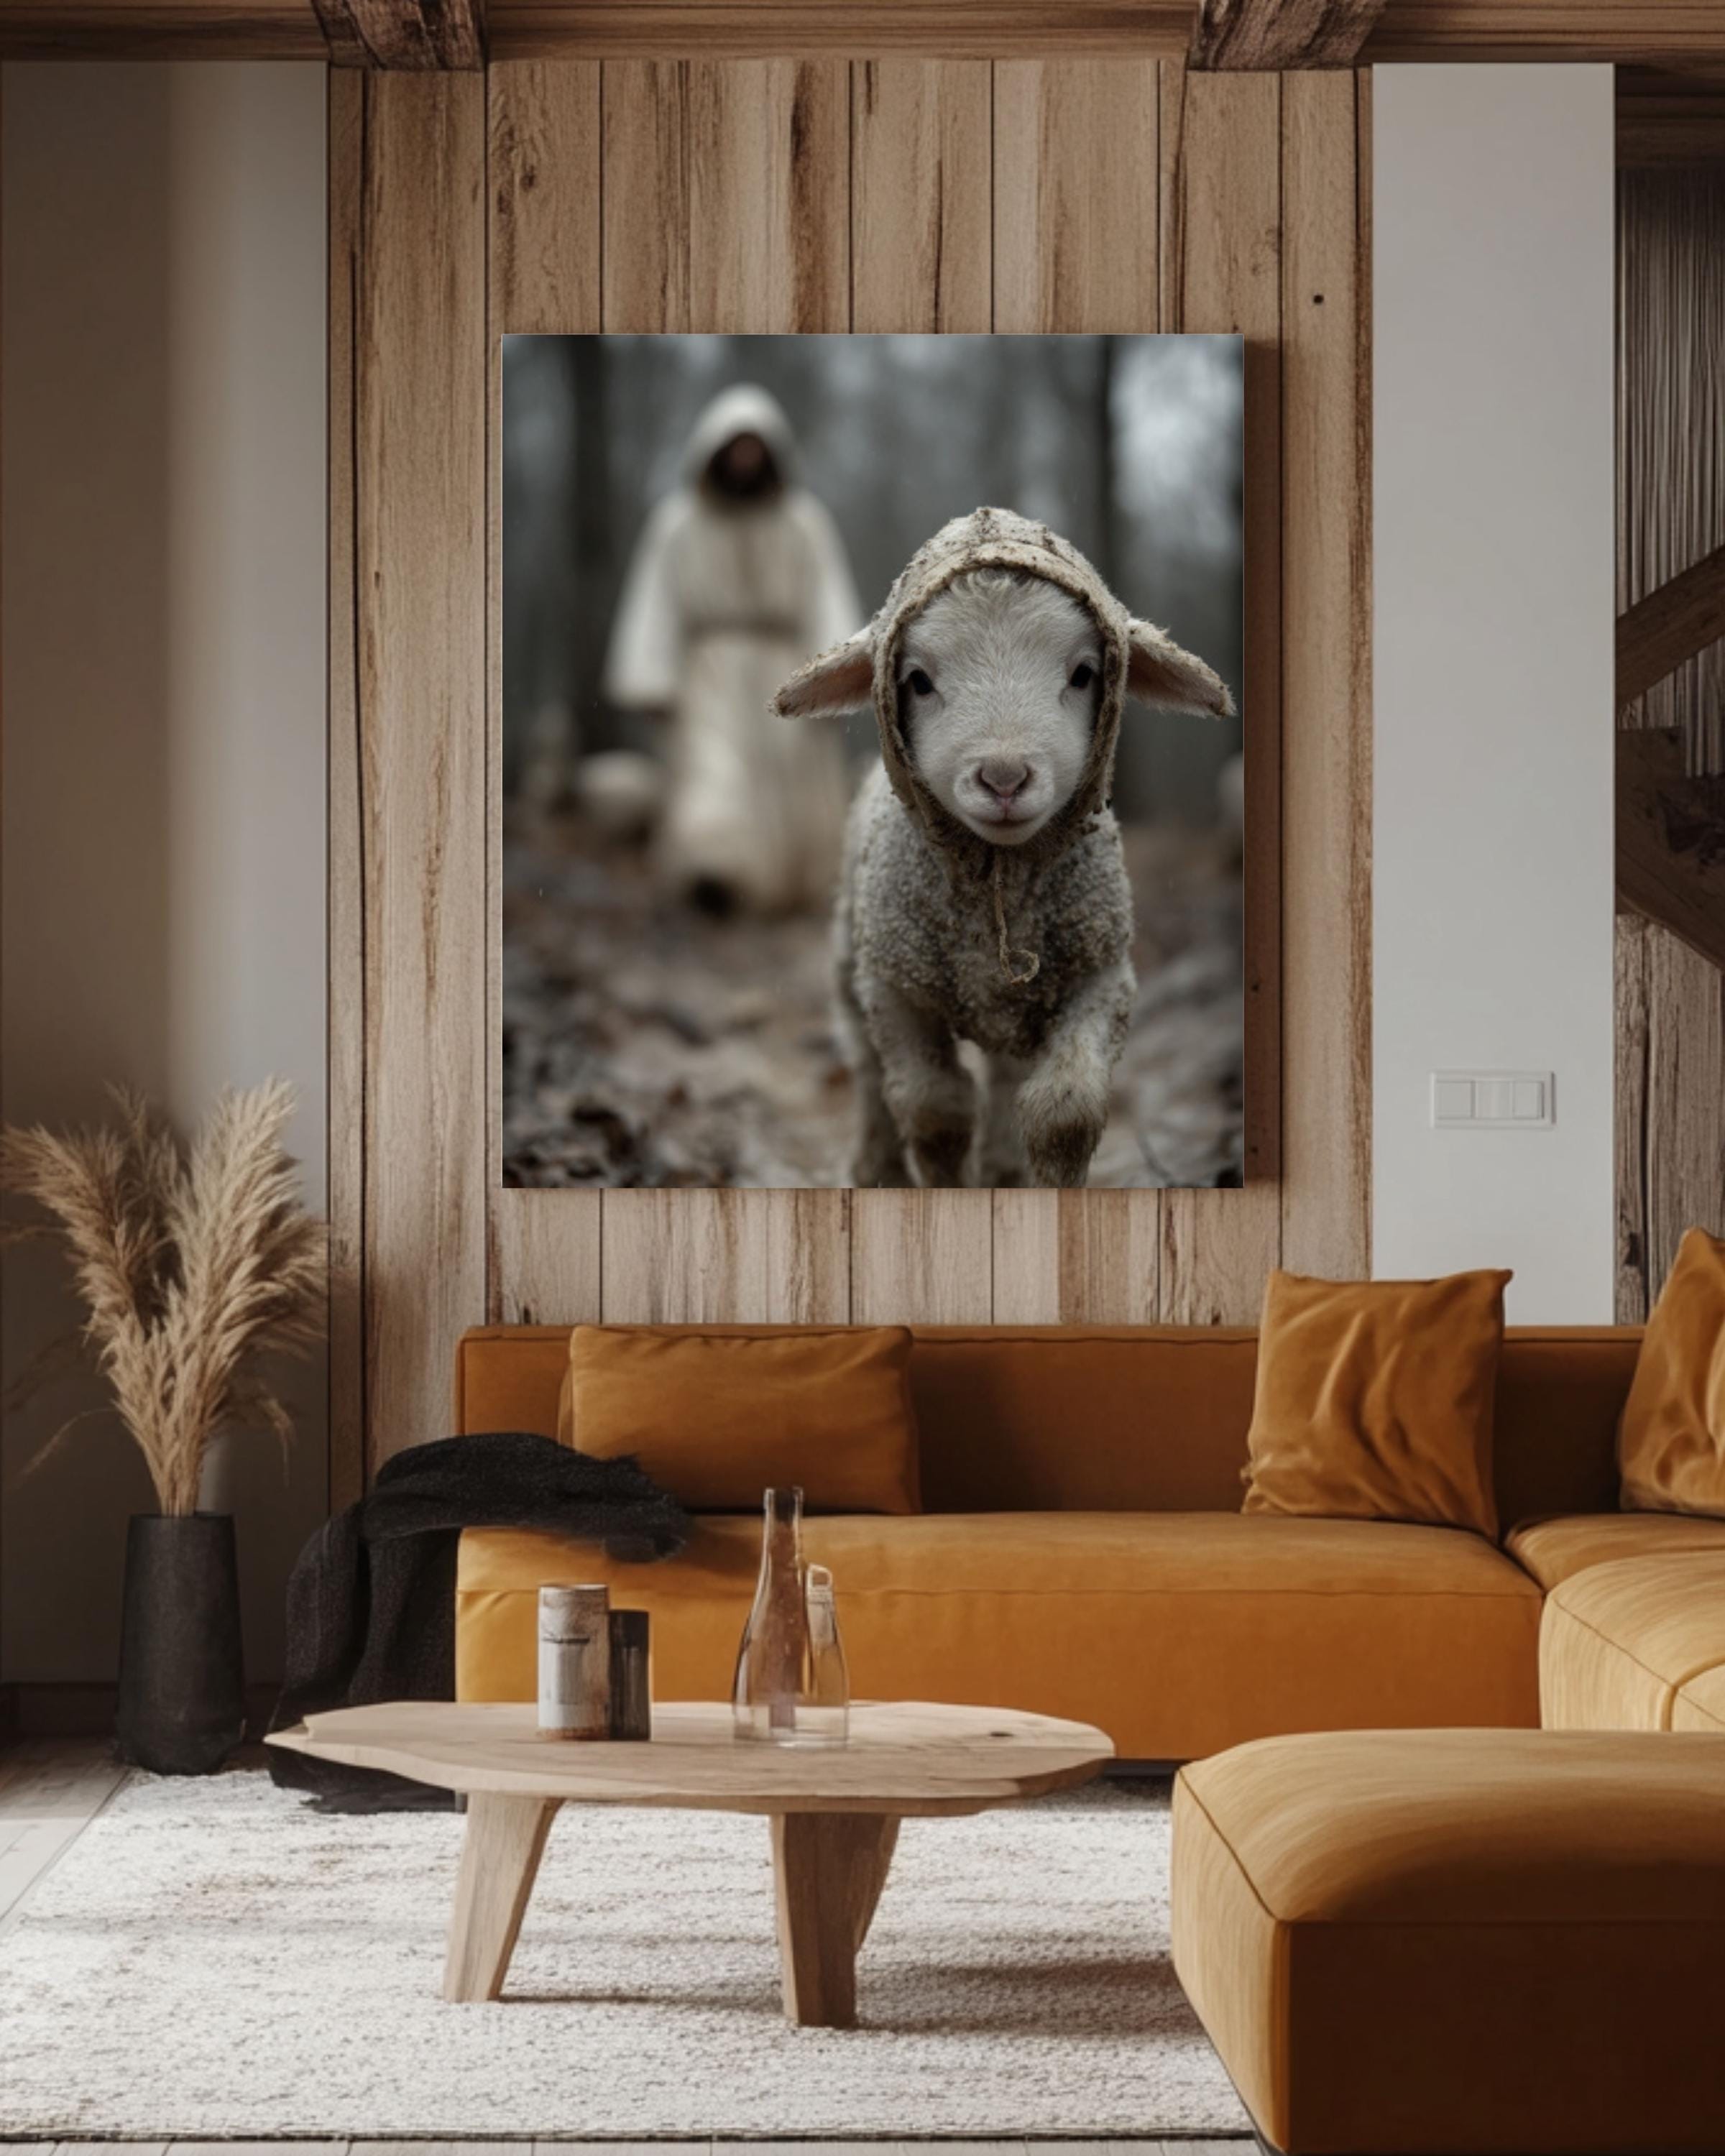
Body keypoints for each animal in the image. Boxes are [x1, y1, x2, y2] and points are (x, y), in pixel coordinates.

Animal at [775, 507, 1234, 1189]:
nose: (1005, 778)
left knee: (1006, 1080)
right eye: (917, 681)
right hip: (850, 963)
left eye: (1083, 674)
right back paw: (878, 1169)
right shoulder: (896, 989)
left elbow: (1065, 1112)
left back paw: (1002, 1171)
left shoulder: (1101, 976)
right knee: (866, 1070)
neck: (1001, 874)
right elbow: (934, 1111)